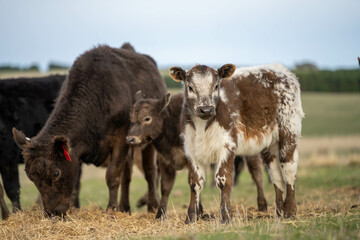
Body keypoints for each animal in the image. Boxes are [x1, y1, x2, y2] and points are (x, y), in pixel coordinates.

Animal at [126, 92, 268, 219]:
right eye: (131, 119)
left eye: (147, 118)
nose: (130, 139)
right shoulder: (166, 161)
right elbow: (166, 187)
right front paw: (160, 215)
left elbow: (193, 182)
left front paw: (198, 211)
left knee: (257, 173)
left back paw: (262, 205)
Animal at [169, 63, 304, 223]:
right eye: (190, 87)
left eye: (216, 86)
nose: (206, 109)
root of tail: (279, 69)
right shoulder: (191, 149)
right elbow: (195, 183)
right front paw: (191, 217)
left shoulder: (228, 146)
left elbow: (223, 180)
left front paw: (227, 216)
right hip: (269, 145)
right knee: (276, 175)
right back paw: (279, 212)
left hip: (288, 132)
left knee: (288, 170)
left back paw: (290, 211)